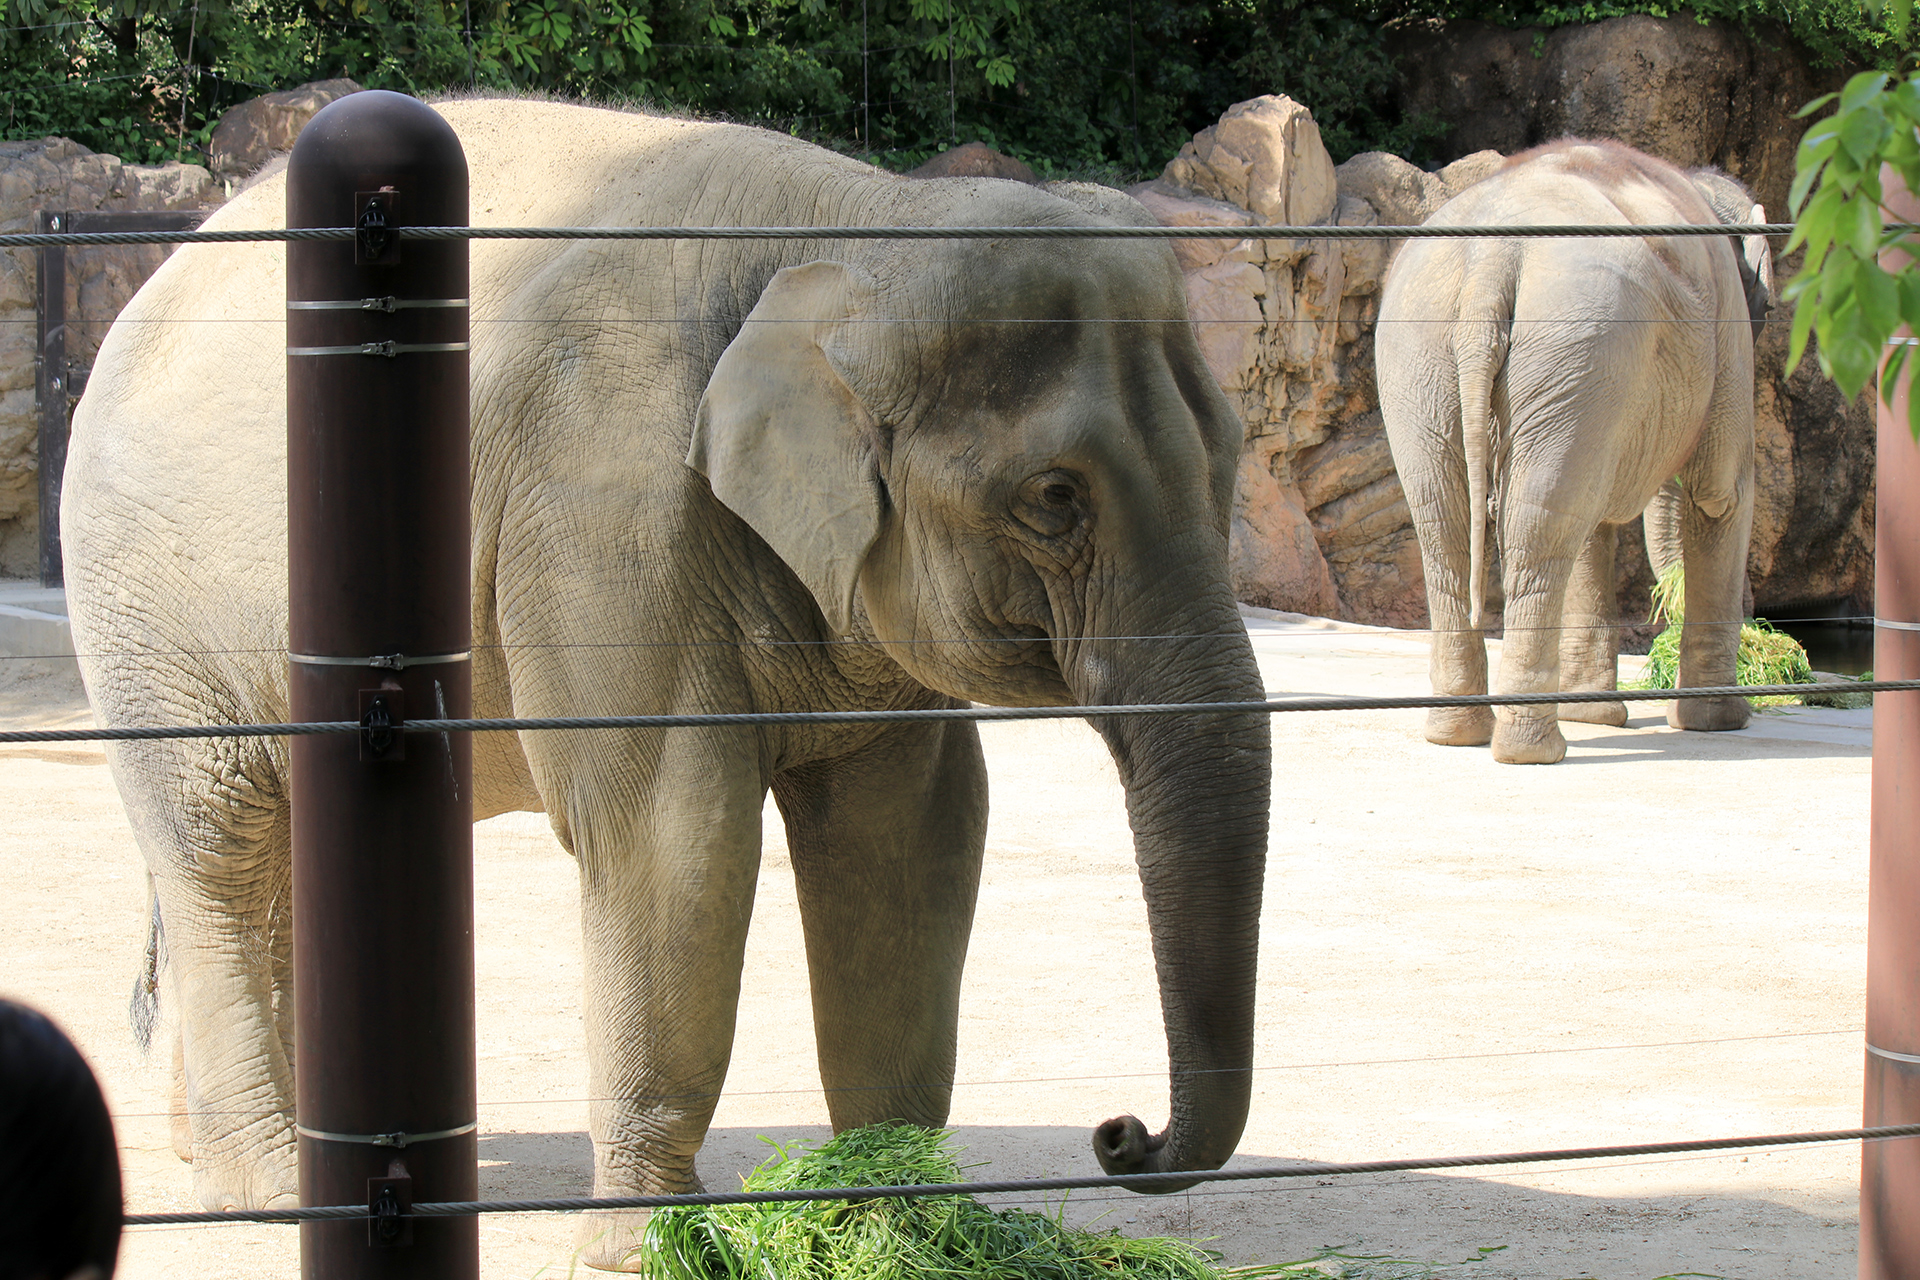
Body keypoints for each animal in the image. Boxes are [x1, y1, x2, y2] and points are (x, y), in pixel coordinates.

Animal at [60, 94, 1274, 1266]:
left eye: (1233, 459)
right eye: (1054, 498)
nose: (1121, 1132)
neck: (857, 221)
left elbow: (909, 830)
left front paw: (897, 1221)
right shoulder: (605, 503)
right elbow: (673, 831)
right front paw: (647, 1247)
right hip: (144, 602)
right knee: (220, 837)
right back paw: (266, 1192)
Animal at [1382, 139, 1766, 767]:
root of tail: (1491, 259)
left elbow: (1599, 523)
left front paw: (1597, 716)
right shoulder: (1729, 331)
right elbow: (1719, 495)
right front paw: (1721, 723)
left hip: (1430, 353)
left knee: (1452, 524)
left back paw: (1457, 734)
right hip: (1578, 335)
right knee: (1541, 524)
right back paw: (1532, 752)